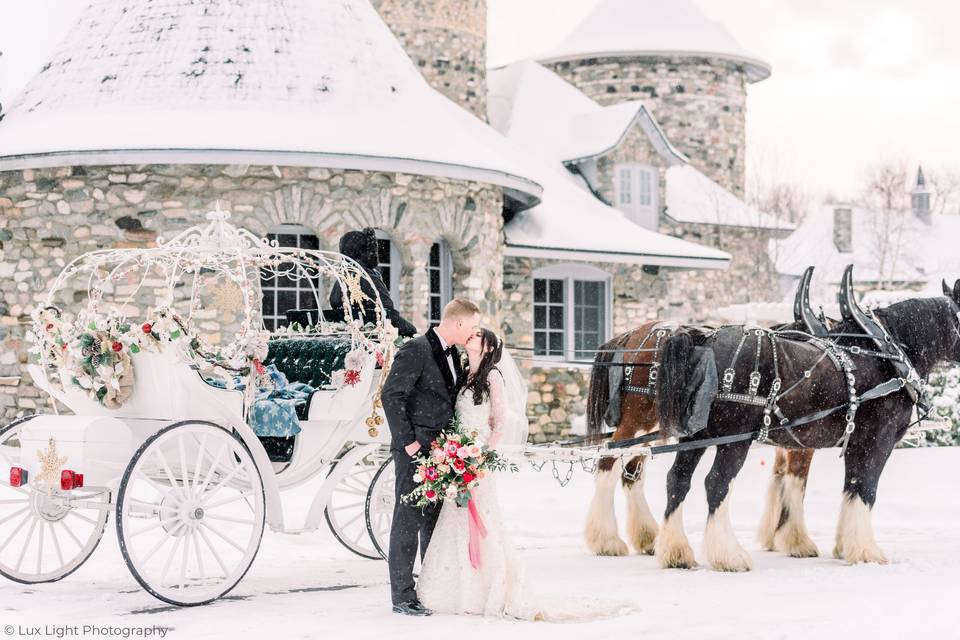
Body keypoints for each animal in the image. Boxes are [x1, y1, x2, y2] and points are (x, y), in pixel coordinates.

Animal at [652, 280, 960, 568]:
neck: (887, 355)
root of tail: (705, 340)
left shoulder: (854, 442)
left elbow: (851, 486)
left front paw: (844, 546)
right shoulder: (876, 441)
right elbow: (866, 490)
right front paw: (866, 551)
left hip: (696, 436)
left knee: (677, 479)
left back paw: (676, 552)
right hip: (735, 438)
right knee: (716, 482)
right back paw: (729, 555)